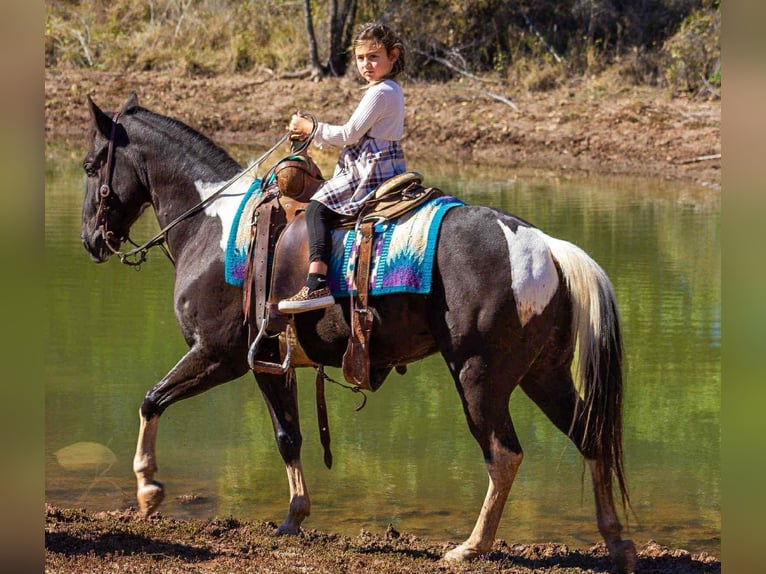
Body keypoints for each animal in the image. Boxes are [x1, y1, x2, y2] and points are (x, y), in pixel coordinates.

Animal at [80, 92, 636, 572]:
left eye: (91, 166)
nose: (90, 241)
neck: (215, 227)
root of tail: (546, 247)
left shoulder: (225, 355)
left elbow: (157, 400)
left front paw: (149, 488)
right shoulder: (275, 362)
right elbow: (289, 435)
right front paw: (294, 516)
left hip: (480, 377)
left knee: (503, 455)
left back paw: (471, 547)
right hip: (543, 373)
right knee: (589, 437)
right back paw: (617, 542)